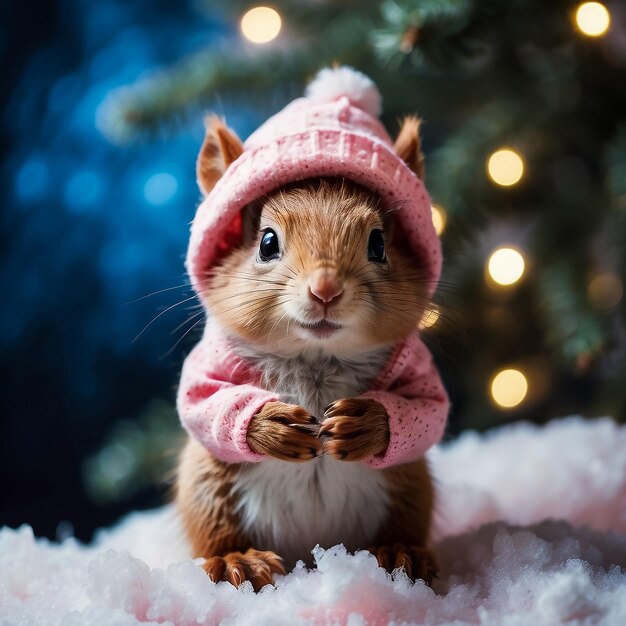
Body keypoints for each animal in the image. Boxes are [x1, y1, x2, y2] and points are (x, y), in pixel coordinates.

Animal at [173, 68, 446, 588]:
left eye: (379, 243)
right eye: (266, 242)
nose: (325, 290)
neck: (316, 357)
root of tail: (312, 551)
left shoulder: (419, 369)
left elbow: (427, 410)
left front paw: (368, 425)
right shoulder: (208, 365)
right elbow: (202, 401)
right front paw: (270, 426)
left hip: (409, 484)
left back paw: (399, 553)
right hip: (207, 485)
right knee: (214, 539)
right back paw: (239, 561)